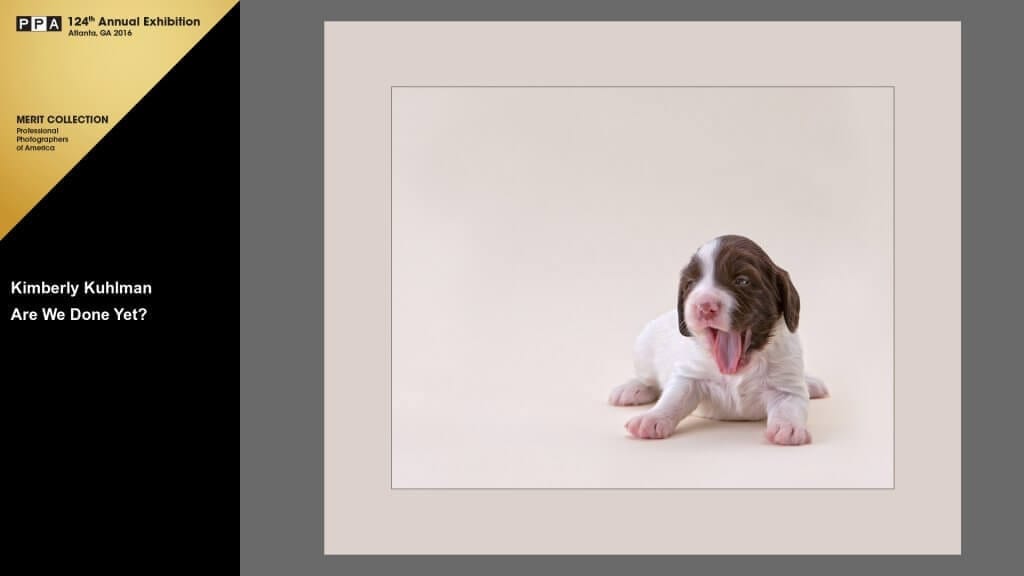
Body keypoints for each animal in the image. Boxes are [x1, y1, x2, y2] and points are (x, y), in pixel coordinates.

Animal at [602, 233, 827, 444]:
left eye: (742, 281)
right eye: (690, 284)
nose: (704, 305)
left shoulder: (786, 386)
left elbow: (788, 407)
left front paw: (789, 428)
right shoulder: (689, 375)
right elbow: (673, 398)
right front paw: (652, 418)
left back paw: (811, 383)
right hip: (644, 346)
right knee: (646, 378)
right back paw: (632, 389)